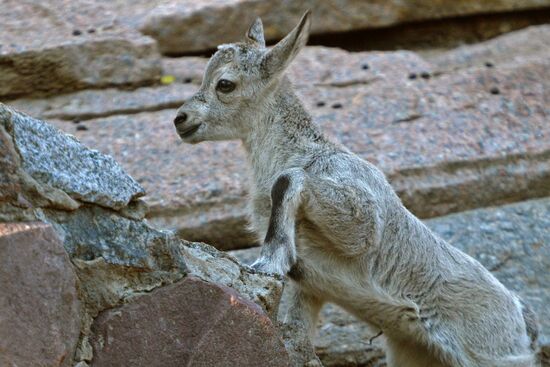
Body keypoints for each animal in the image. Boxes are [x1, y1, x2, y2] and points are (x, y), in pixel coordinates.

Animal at [175, 11, 540, 367]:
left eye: (225, 84)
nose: (180, 120)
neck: (300, 153)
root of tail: (522, 318)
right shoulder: (309, 289)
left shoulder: (359, 221)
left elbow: (291, 180)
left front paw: (268, 259)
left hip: (491, 356)